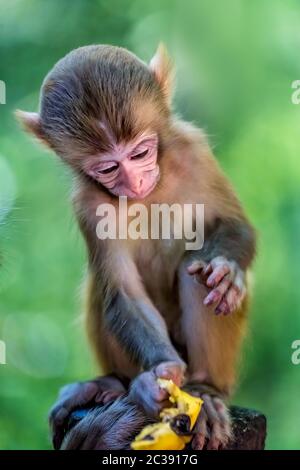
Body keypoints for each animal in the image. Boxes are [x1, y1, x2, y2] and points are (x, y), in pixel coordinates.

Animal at [17, 45, 255, 452]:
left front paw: (227, 271)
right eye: (109, 168)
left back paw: (206, 390)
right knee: (102, 288)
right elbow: (123, 292)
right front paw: (156, 380)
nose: (135, 182)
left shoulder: (193, 149)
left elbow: (236, 228)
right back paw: (113, 383)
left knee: (195, 270)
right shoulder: (88, 202)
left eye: (141, 153)